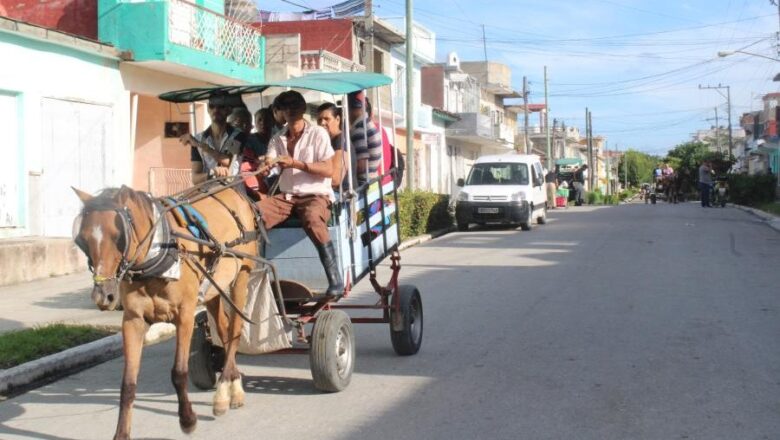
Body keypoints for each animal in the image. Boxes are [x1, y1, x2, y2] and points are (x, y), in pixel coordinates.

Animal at [72, 186, 258, 440]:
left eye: (118, 236)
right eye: (82, 239)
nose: (103, 295)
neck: (157, 253)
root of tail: (233, 190)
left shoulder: (185, 315)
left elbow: (179, 372)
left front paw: (187, 420)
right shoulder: (133, 320)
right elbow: (128, 383)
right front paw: (121, 433)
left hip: (241, 278)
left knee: (235, 330)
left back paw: (225, 393)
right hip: (214, 289)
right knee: (223, 328)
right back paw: (232, 386)